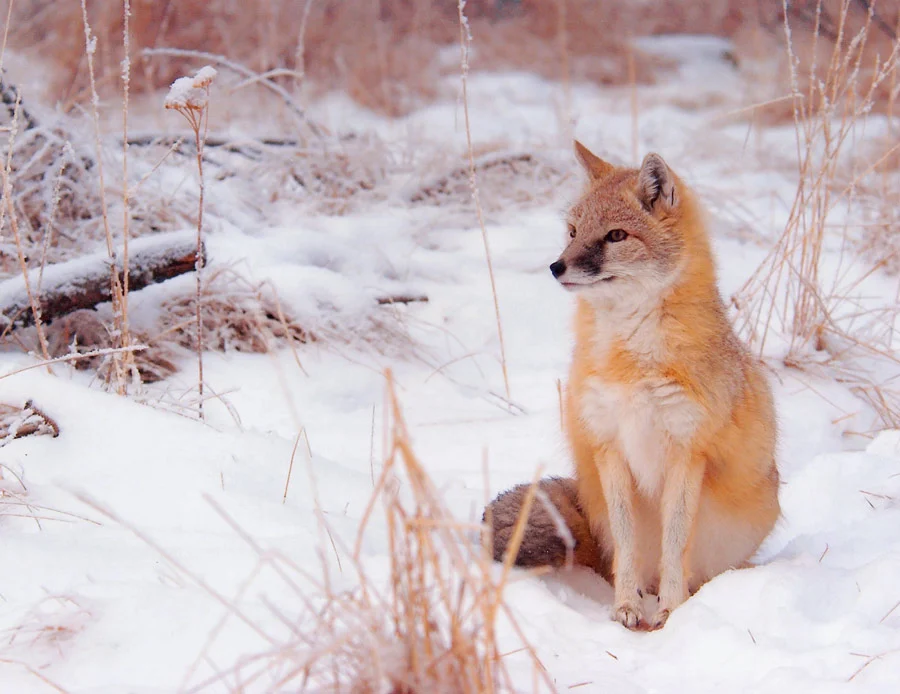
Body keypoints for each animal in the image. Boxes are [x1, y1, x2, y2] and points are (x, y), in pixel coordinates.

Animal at [484, 142, 780, 630]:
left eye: (616, 236)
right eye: (572, 232)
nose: (556, 266)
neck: (631, 359)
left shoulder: (686, 452)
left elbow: (674, 545)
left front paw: (671, 612)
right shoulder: (610, 447)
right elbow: (628, 544)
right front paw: (626, 606)